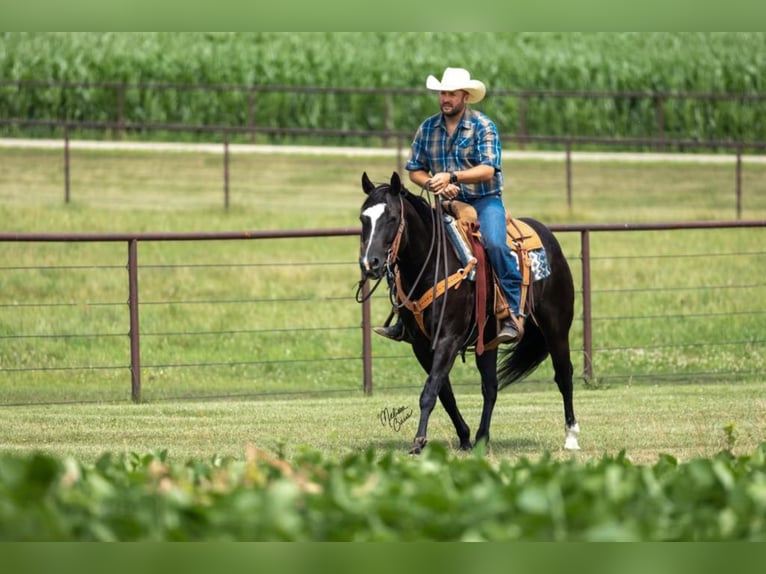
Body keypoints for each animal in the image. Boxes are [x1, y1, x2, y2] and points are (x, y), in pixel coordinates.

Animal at [360, 171, 584, 454]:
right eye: (363, 218)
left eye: (391, 217)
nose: (370, 263)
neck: (433, 264)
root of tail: (548, 236)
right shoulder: (421, 345)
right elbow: (444, 393)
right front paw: (464, 437)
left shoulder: (449, 338)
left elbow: (430, 391)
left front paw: (419, 442)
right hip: (488, 341)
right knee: (490, 387)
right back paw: (481, 438)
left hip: (556, 327)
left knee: (564, 375)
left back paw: (571, 437)